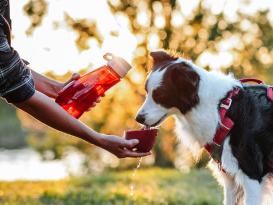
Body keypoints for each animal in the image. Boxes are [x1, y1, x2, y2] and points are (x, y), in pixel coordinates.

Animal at [136, 50, 272, 204]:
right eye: (147, 91)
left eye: (160, 95)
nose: (138, 118)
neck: (222, 110)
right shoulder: (230, 177)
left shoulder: (251, 174)